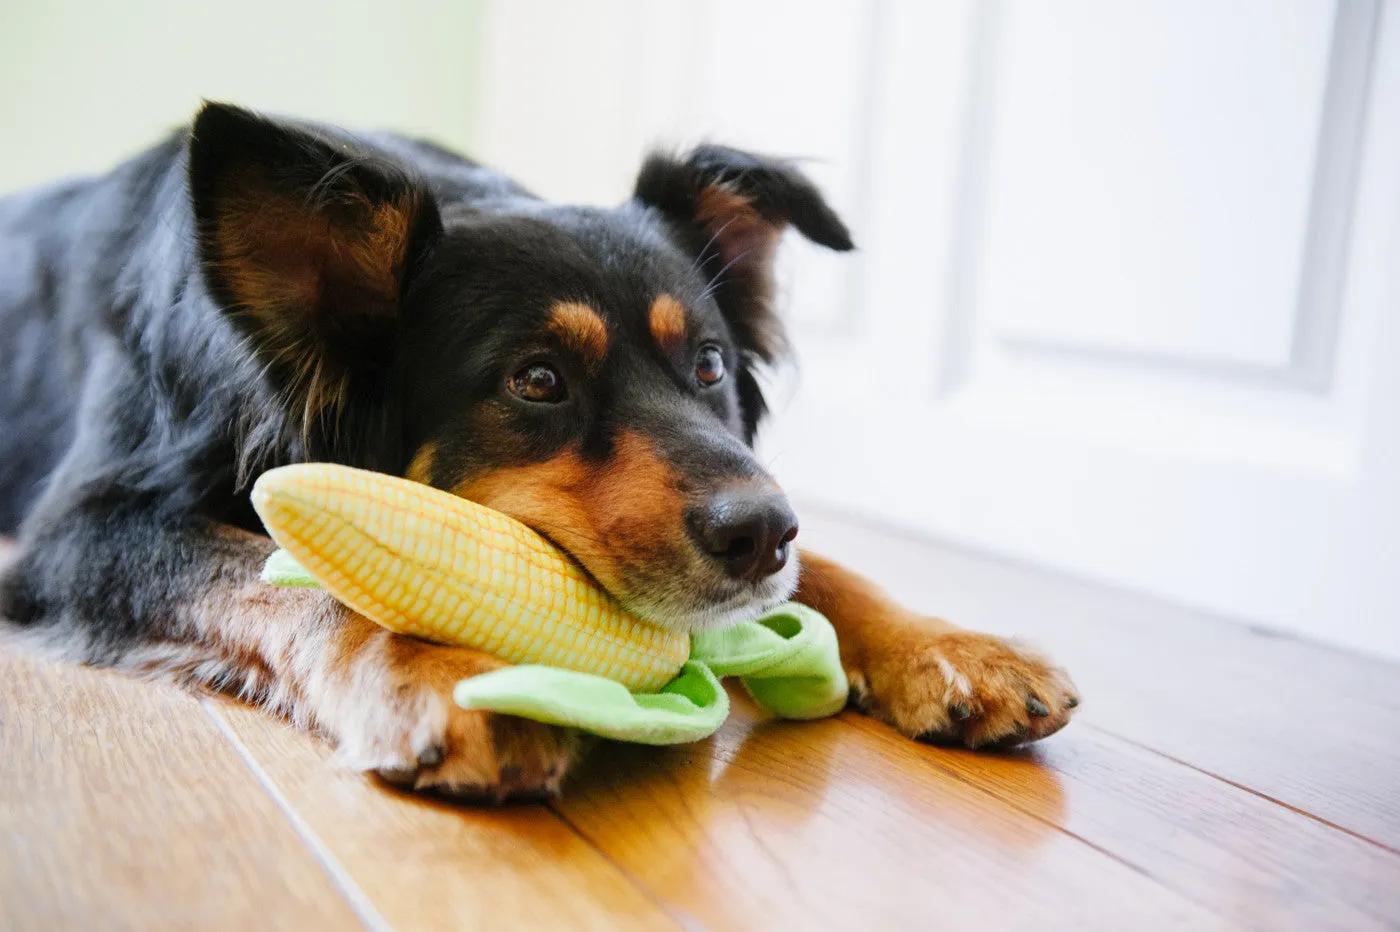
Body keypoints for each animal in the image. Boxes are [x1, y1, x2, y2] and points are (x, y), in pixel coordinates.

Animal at [0, 103, 1075, 800]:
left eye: (710, 365)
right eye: (539, 380)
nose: (763, 535)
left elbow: (835, 566)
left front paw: (952, 647)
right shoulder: (80, 534)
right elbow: (310, 585)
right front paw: (447, 673)